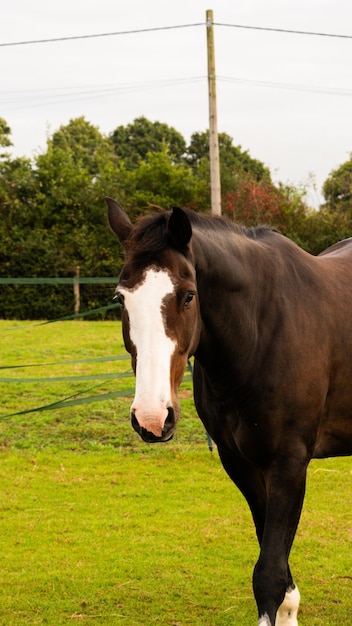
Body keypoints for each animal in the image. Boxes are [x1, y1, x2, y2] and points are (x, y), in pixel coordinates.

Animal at [106, 196, 352, 624]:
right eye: (122, 298)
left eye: (188, 295)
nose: (152, 417)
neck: (261, 332)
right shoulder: (240, 463)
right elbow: (276, 567)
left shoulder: (289, 463)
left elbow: (268, 574)